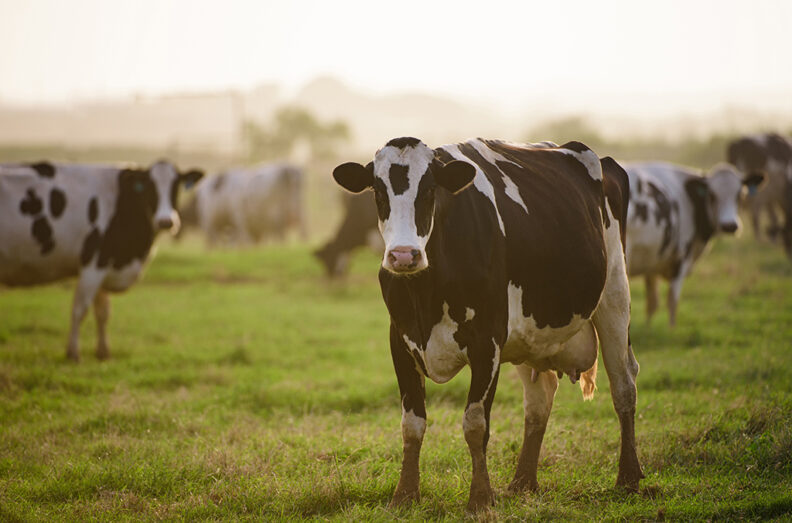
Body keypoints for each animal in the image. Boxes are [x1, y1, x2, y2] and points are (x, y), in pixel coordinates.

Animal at [0, 160, 203, 361]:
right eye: (149, 187)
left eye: (176, 186)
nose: (166, 221)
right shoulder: (94, 264)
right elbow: (80, 310)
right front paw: (73, 353)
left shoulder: (105, 267)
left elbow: (103, 312)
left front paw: (103, 352)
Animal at [332, 137, 642, 512]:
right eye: (378, 191)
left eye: (430, 189)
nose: (403, 255)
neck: (425, 293)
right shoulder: (400, 341)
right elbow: (412, 424)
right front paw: (405, 495)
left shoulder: (487, 342)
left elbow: (475, 423)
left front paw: (480, 497)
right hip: (529, 335)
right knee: (539, 401)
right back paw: (523, 482)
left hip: (615, 295)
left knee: (623, 386)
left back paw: (628, 477)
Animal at [625, 162, 763, 325]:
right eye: (712, 195)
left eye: (740, 194)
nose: (729, 225)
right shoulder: (681, 258)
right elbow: (672, 302)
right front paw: (671, 329)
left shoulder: (652, 263)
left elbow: (652, 303)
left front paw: (648, 327)